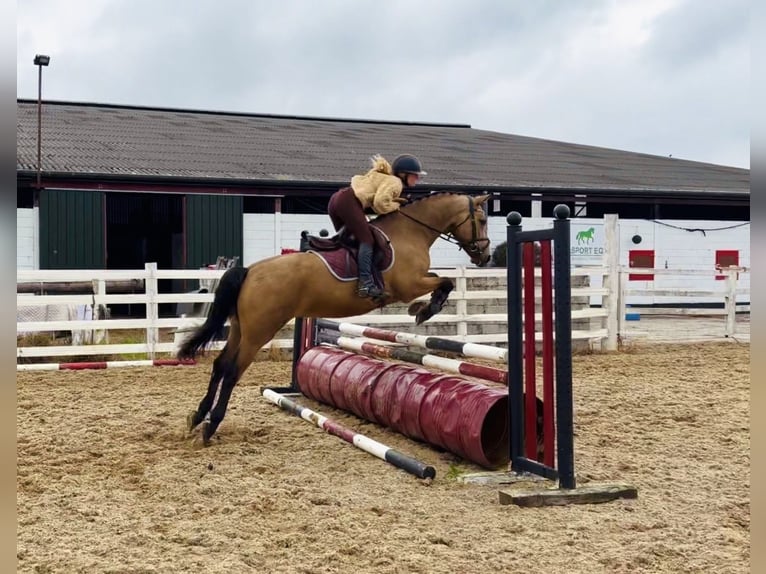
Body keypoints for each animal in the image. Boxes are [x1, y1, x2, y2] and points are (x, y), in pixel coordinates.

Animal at [177, 192, 492, 444]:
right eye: (482, 219)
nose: (486, 257)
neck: (411, 231)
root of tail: (250, 270)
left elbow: (442, 279)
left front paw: (423, 309)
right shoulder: (409, 285)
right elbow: (445, 281)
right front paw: (425, 310)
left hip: (240, 329)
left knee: (220, 365)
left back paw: (198, 416)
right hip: (259, 332)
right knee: (232, 371)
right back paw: (211, 425)